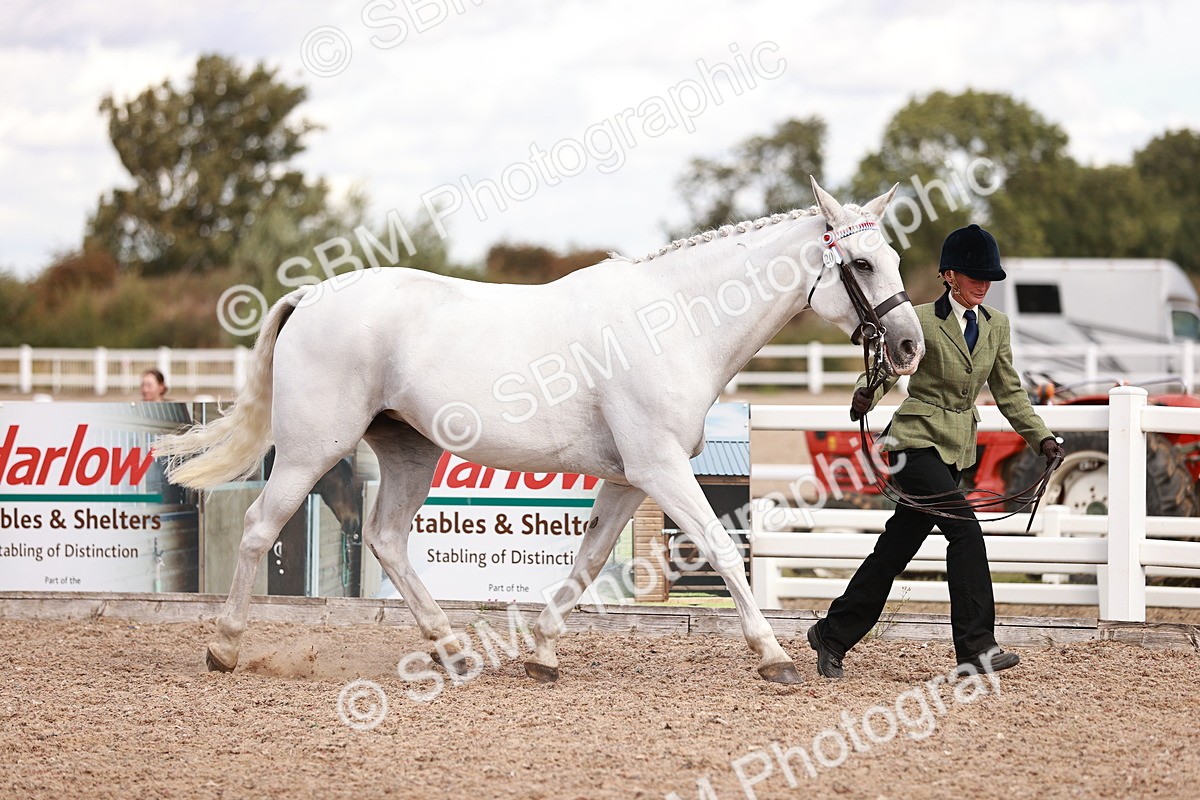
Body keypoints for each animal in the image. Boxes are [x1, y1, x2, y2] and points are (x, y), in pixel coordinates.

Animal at [155, 179, 924, 684]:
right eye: (860, 264)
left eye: (892, 259)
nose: (911, 347)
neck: (674, 320)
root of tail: (311, 294)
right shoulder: (661, 469)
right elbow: (722, 551)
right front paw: (775, 657)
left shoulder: (629, 479)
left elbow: (586, 564)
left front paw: (545, 655)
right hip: (312, 449)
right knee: (260, 526)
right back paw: (225, 648)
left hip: (409, 452)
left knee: (388, 540)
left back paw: (452, 650)